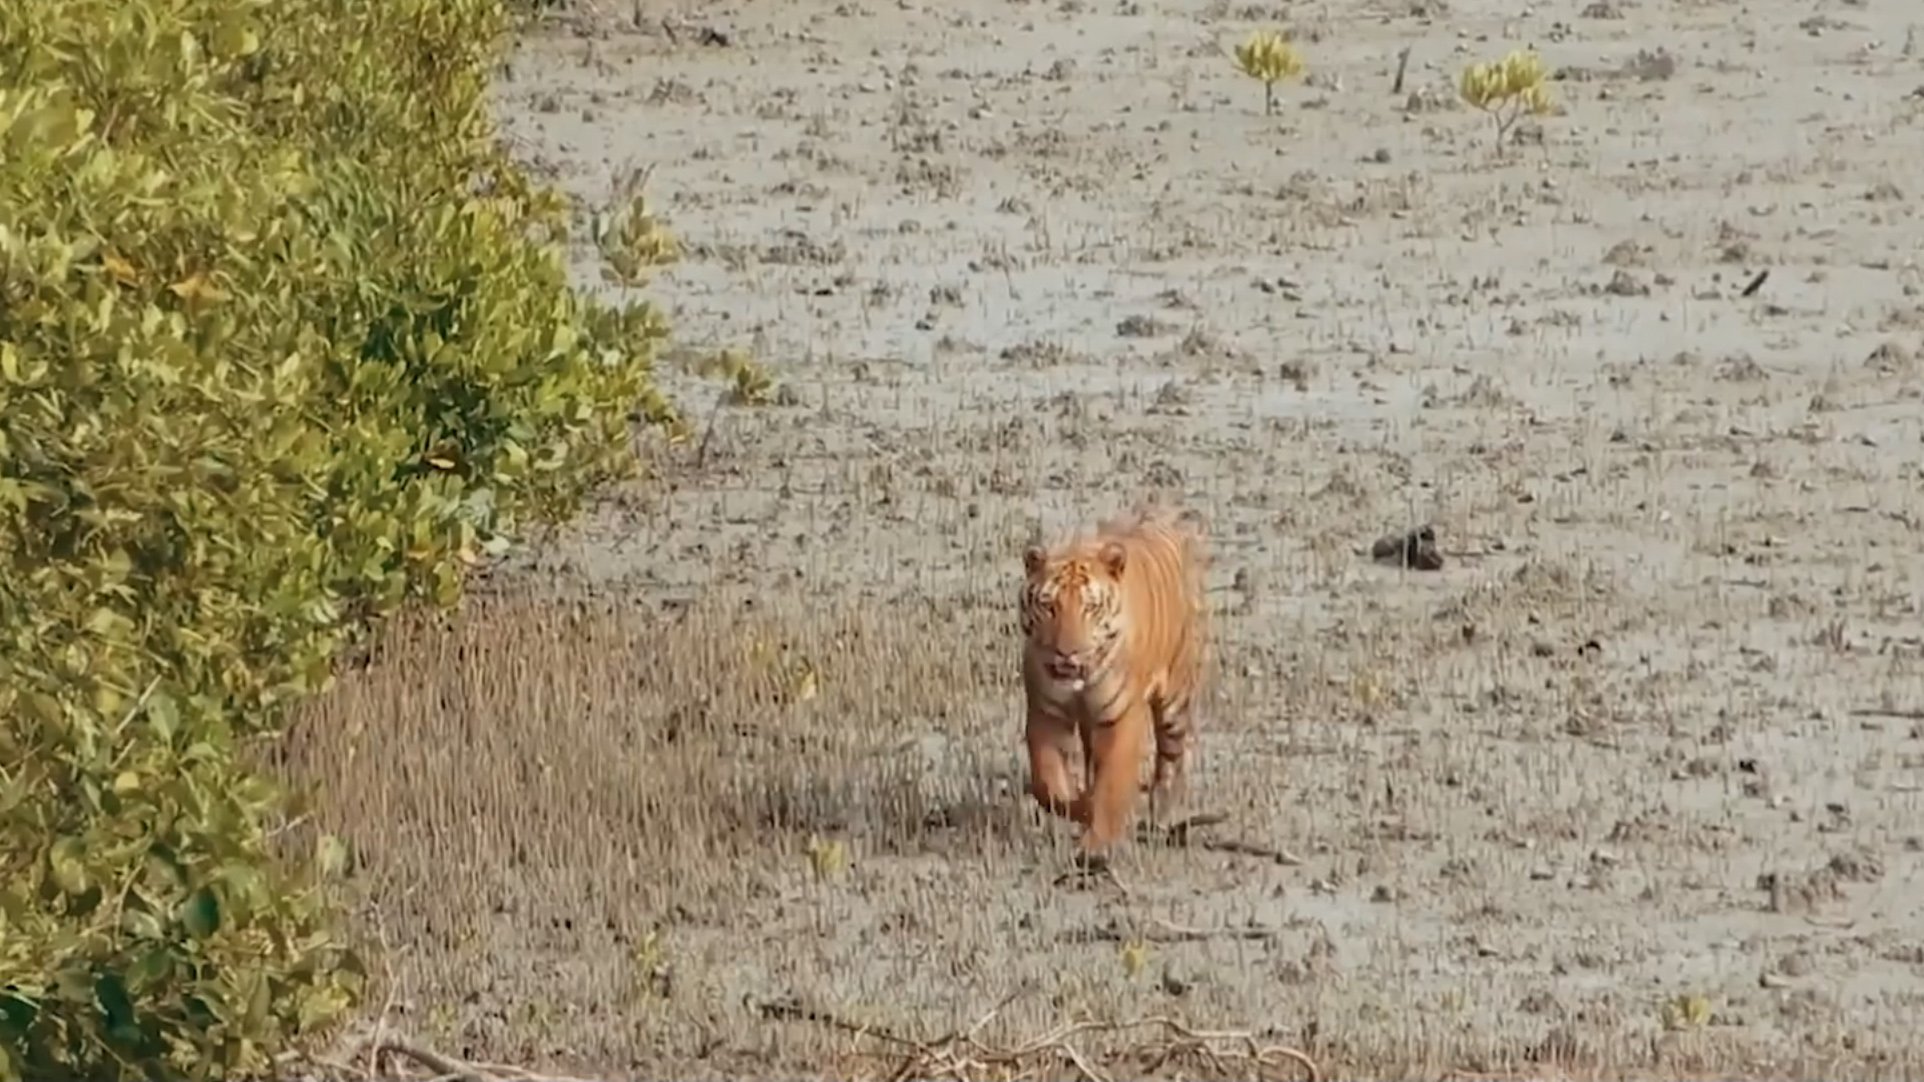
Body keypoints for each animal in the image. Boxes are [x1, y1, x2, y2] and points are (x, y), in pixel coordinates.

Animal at [1015, 500, 1208, 862]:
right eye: (1049, 606)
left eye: (1090, 608)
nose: (1068, 652)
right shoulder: (1046, 713)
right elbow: (1049, 784)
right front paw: (1082, 807)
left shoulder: (1120, 718)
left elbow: (1112, 785)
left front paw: (1096, 849)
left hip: (1174, 699)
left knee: (1170, 759)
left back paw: (1161, 815)